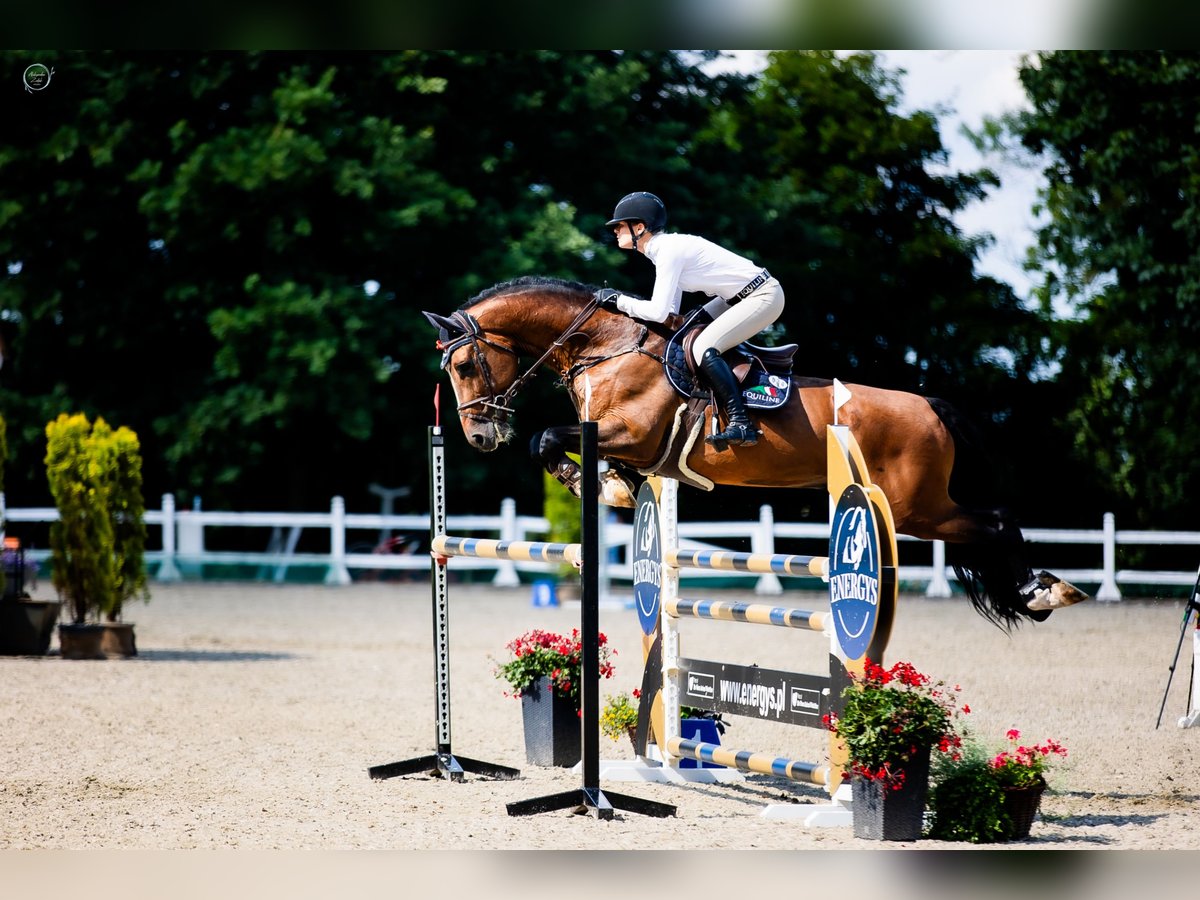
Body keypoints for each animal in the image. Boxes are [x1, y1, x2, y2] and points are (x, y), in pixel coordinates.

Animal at [427, 274, 1094, 628]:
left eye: (464, 365)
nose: (480, 436)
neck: (605, 344)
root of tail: (932, 407)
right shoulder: (632, 447)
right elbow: (590, 460)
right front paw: (612, 485)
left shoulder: (635, 434)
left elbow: (545, 439)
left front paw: (594, 481)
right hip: (921, 507)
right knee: (991, 522)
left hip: (916, 508)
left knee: (997, 520)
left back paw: (1043, 591)